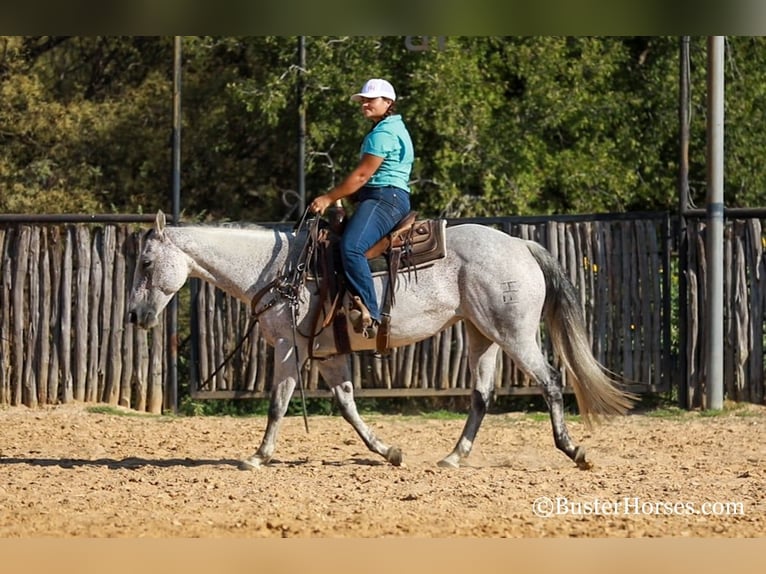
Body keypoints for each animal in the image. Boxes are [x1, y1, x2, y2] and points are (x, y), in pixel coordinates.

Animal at [127, 212, 636, 472]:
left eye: (147, 263)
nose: (135, 315)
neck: (278, 270)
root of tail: (520, 245)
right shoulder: (328, 354)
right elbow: (348, 406)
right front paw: (388, 451)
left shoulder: (290, 348)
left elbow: (277, 402)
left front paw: (257, 456)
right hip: (481, 335)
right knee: (481, 395)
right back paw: (453, 457)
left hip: (513, 333)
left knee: (550, 382)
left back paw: (574, 450)